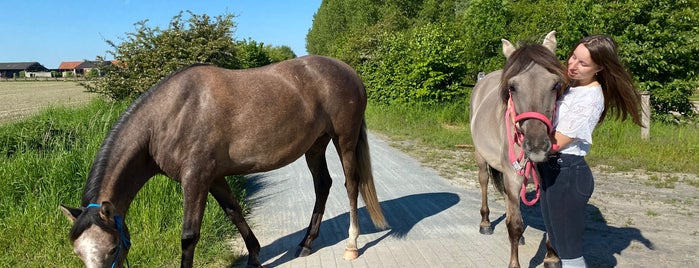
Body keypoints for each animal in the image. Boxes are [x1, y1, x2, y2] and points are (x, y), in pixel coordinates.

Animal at [58, 55, 388, 266]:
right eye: (78, 253)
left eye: (113, 248)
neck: (168, 116)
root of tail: (348, 71)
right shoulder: (213, 177)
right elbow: (234, 211)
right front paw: (254, 256)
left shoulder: (195, 179)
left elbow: (189, 235)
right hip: (316, 146)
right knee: (323, 185)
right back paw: (306, 243)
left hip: (344, 140)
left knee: (351, 185)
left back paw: (351, 245)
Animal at [470, 31, 568, 268]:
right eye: (512, 87)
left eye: (555, 85)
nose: (537, 146)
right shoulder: (513, 176)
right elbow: (514, 225)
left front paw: (552, 257)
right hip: (481, 158)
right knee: (484, 181)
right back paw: (485, 222)